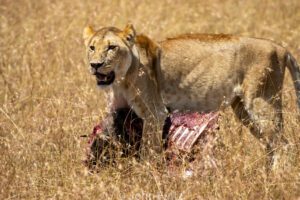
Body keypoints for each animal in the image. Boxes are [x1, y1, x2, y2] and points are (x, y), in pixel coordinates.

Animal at [83, 23, 300, 165]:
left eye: (112, 47)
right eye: (92, 47)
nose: (95, 65)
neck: (121, 79)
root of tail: (281, 48)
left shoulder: (155, 113)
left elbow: (149, 148)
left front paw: (147, 172)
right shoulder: (119, 113)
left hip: (261, 102)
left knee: (283, 145)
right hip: (243, 111)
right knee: (271, 145)